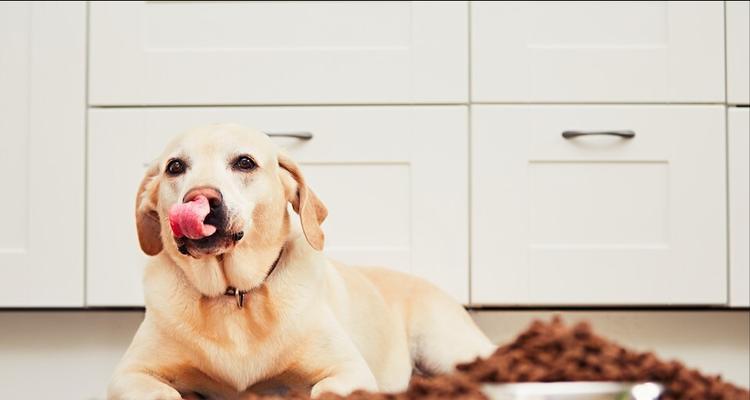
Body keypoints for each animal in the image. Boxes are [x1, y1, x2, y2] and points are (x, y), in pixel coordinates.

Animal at [106, 123, 494, 398]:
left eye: (244, 162)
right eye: (174, 167)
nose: (200, 198)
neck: (235, 296)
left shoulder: (347, 371)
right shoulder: (129, 375)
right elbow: (163, 392)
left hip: (447, 347)